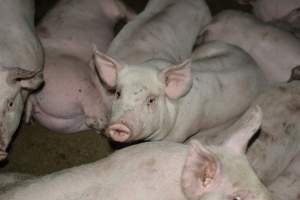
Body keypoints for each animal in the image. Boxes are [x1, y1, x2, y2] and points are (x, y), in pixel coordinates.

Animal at [25, 0, 133, 134]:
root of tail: (32, 95)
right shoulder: (113, 5)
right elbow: (127, 11)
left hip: (64, 123)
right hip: (80, 83)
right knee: (96, 113)